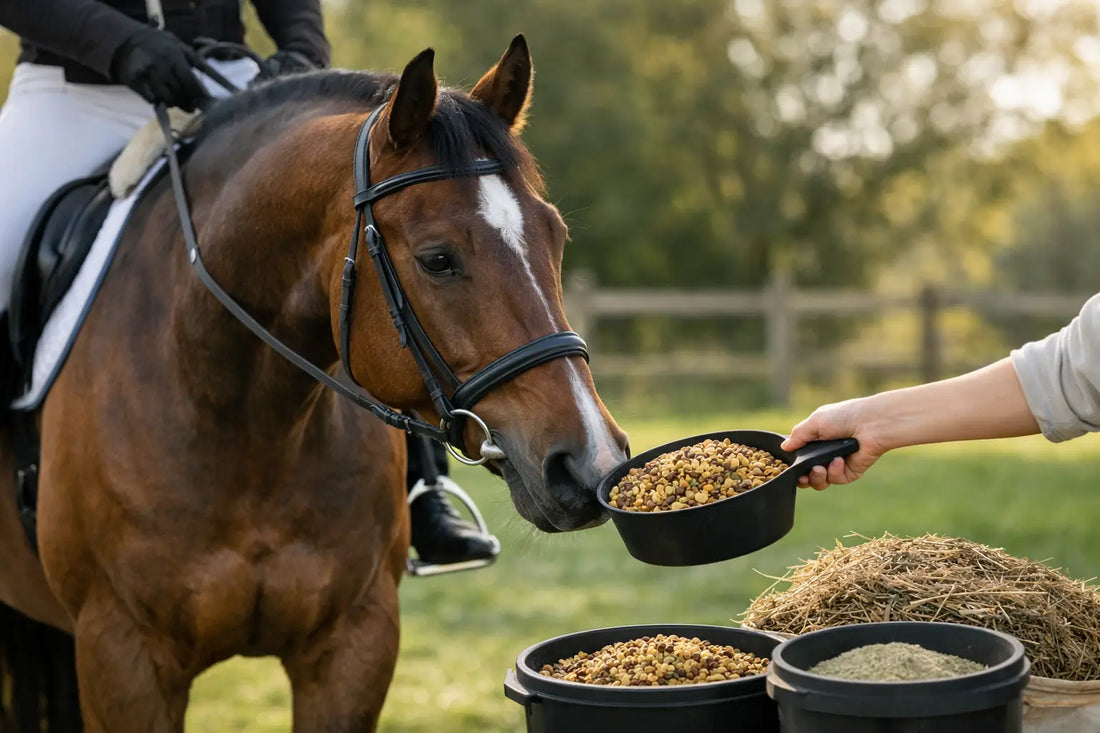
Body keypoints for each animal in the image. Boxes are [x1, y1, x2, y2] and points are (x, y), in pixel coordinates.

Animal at [0, 35, 630, 731]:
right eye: (437, 259)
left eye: (555, 235)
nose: (591, 464)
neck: (248, 424)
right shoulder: (123, 655)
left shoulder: (353, 646)